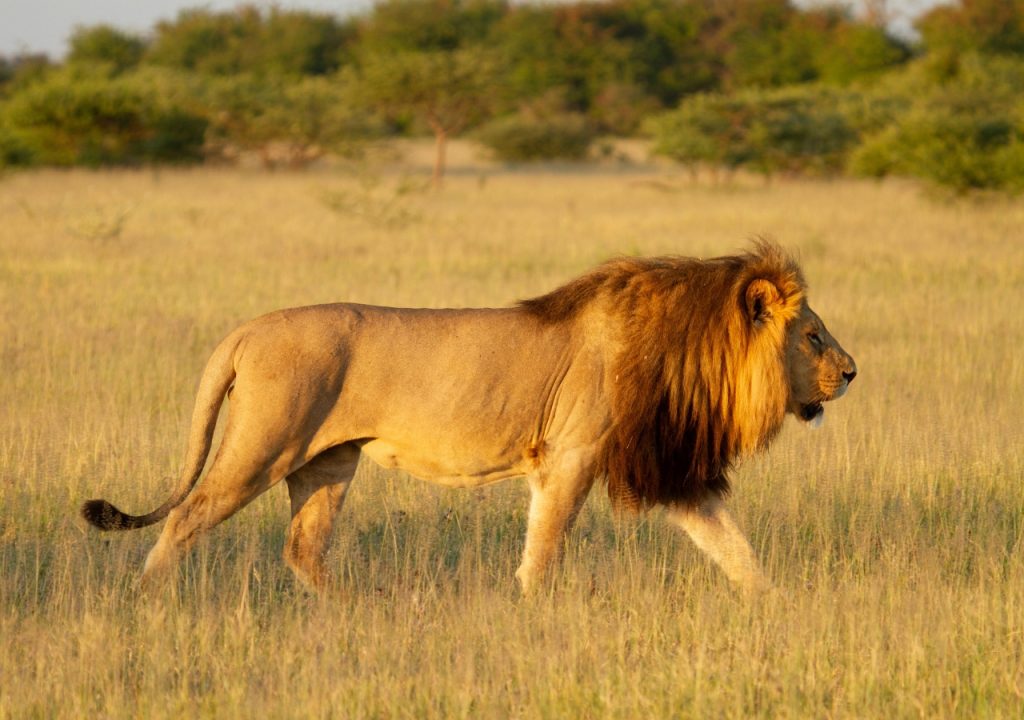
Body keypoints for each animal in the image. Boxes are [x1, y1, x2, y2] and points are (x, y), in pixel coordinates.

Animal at [82, 241, 856, 595]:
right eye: (814, 336)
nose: (852, 372)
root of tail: (244, 330)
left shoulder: (667, 469)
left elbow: (733, 547)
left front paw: (776, 607)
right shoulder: (571, 456)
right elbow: (544, 549)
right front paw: (531, 610)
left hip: (327, 463)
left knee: (302, 548)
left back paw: (354, 612)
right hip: (262, 447)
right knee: (187, 517)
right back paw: (147, 601)